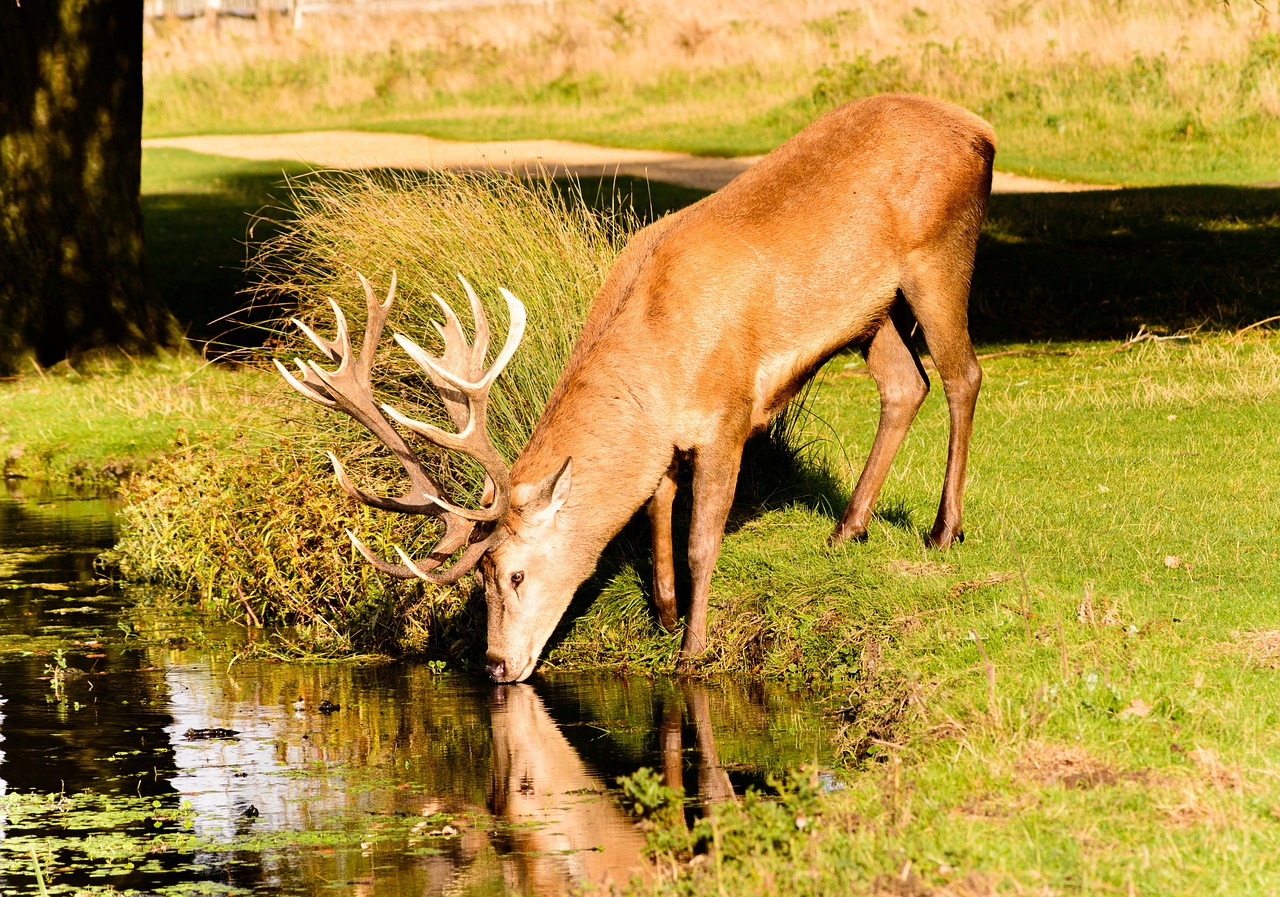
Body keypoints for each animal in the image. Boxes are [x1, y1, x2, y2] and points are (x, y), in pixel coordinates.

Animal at [277, 92, 998, 680]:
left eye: (514, 571)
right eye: (478, 573)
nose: (495, 664)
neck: (659, 359)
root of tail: (981, 131)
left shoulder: (728, 414)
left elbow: (701, 540)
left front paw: (692, 650)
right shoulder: (666, 442)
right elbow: (657, 515)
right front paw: (666, 614)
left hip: (941, 252)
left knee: (963, 375)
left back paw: (944, 530)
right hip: (871, 311)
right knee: (905, 385)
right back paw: (847, 530)